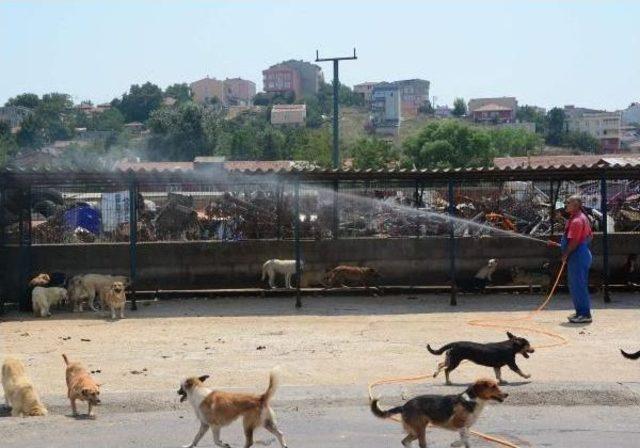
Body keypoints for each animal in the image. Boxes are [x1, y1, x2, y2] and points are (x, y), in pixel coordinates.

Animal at [372, 378, 508, 448]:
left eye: (497, 385)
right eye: (493, 386)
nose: (506, 394)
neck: (472, 400)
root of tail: (404, 406)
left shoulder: (466, 428)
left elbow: (467, 440)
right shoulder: (459, 425)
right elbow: (465, 439)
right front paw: (455, 444)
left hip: (415, 431)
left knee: (405, 441)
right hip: (420, 430)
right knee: (420, 444)